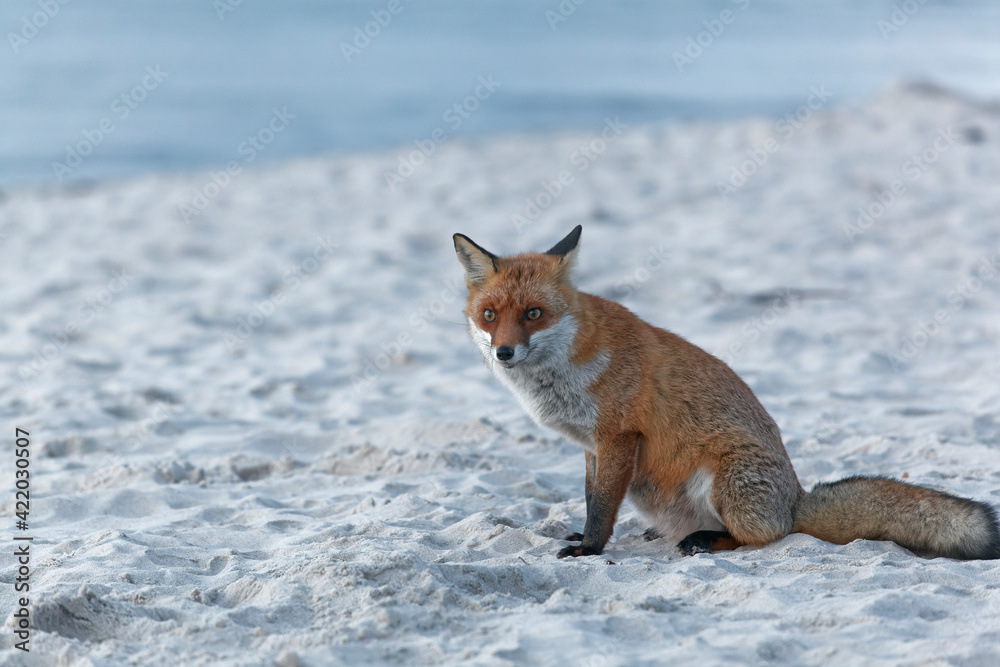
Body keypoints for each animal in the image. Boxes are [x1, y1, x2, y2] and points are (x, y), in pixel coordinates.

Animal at [456, 227, 1000, 560]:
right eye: (490, 315)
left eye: (534, 314)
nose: (504, 352)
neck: (566, 370)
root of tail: (796, 499)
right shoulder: (592, 445)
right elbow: (593, 497)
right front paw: (586, 537)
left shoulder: (617, 435)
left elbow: (602, 505)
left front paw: (590, 549)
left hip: (724, 478)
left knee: (760, 537)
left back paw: (704, 539)